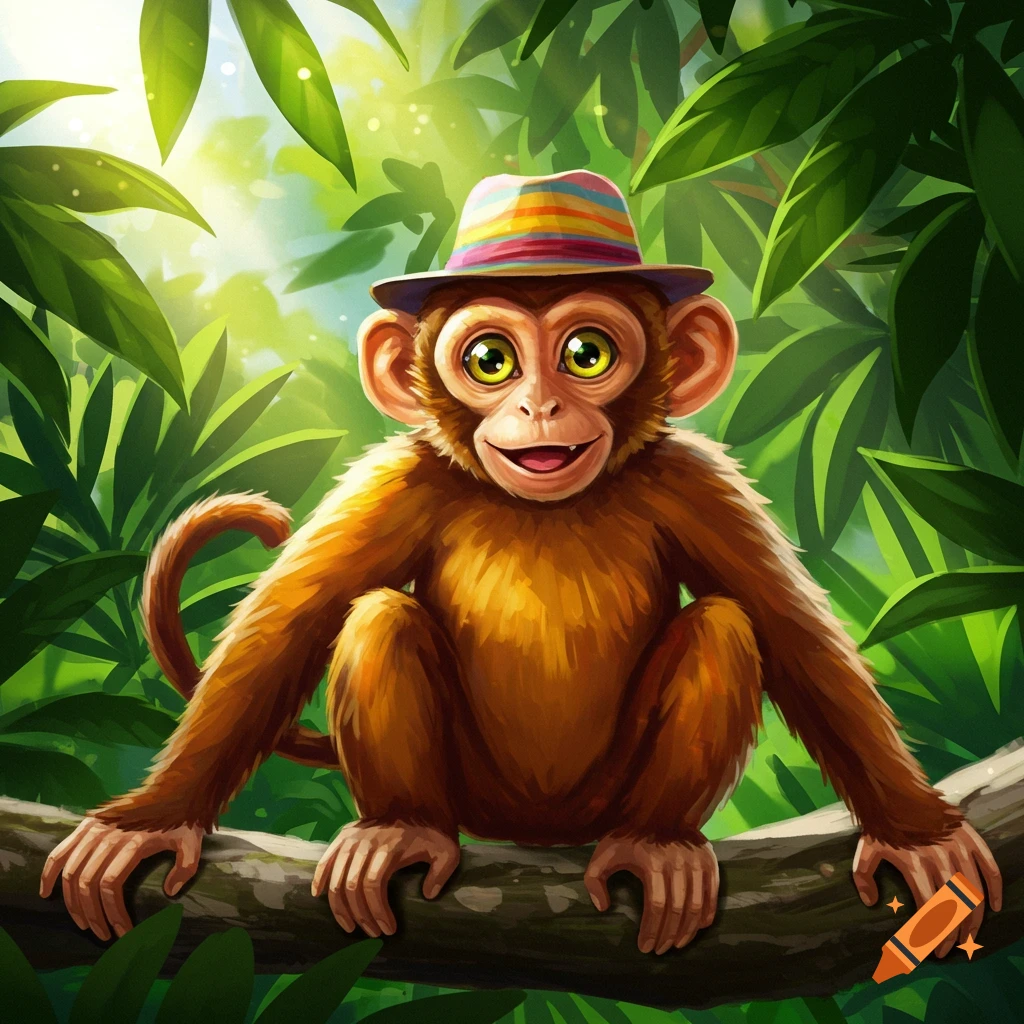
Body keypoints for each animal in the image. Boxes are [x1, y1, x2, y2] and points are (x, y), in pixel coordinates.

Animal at [41, 181, 1002, 958]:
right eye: (491, 361)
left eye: (586, 354)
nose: (539, 407)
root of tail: (536, 831)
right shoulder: (402, 476)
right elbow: (289, 629)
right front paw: (149, 822)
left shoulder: (693, 481)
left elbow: (792, 635)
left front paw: (917, 835)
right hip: (476, 789)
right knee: (379, 617)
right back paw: (403, 830)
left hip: (601, 797)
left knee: (725, 628)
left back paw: (656, 843)